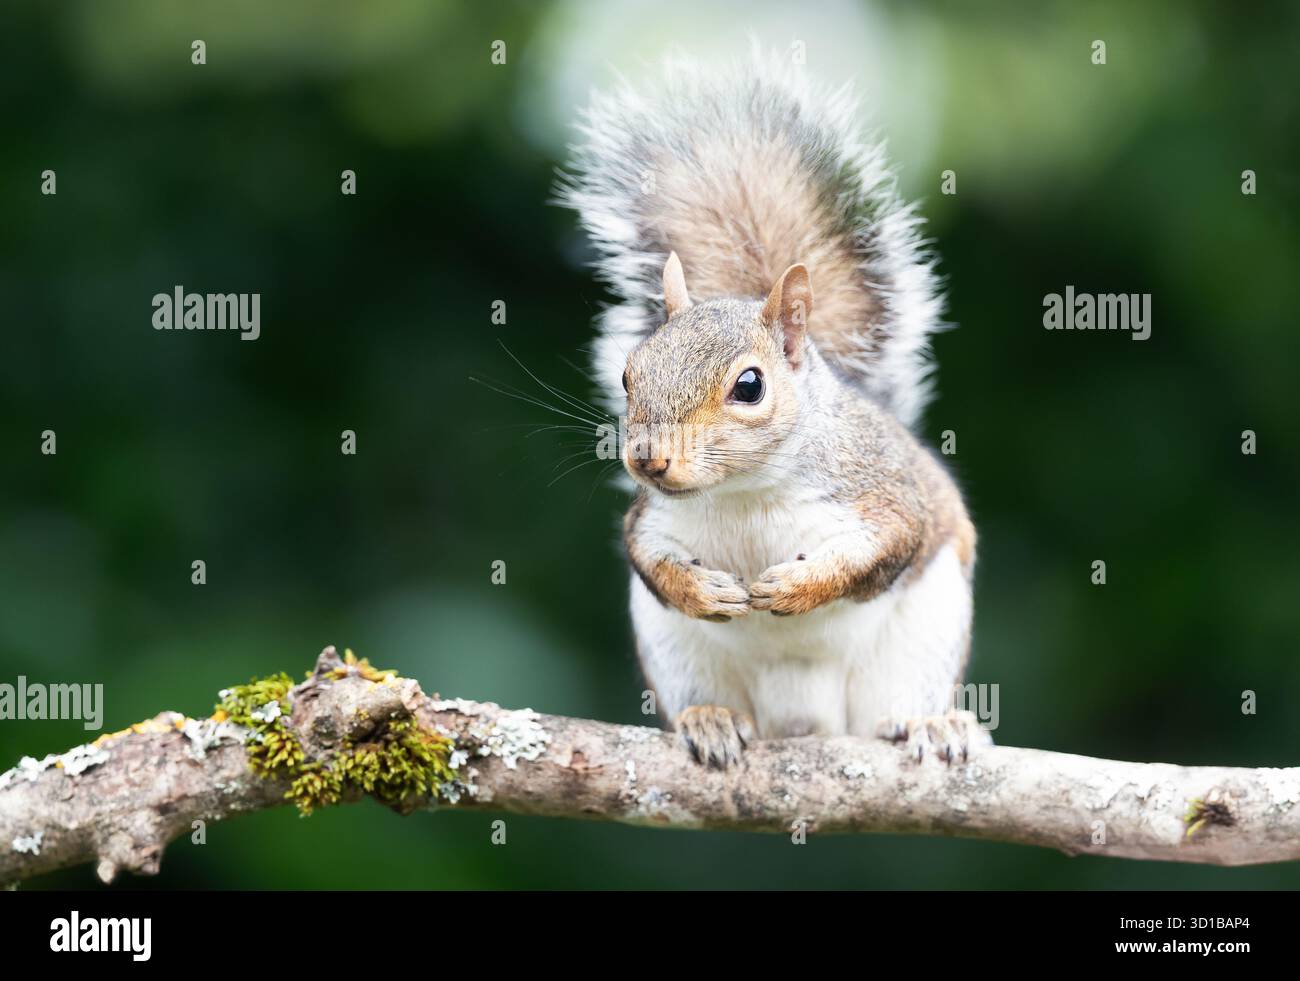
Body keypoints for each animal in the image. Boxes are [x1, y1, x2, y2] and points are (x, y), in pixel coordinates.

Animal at [559, 52, 986, 768]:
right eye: (628, 373)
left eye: (750, 386)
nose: (647, 460)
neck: (743, 491)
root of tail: (803, 721)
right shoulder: (653, 519)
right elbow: (647, 557)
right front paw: (702, 590)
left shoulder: (881, 491)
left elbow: (888, 544)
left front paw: (796, 587)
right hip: (674, 652)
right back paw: (709, 719)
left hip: (924, 636)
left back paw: (931, 724)